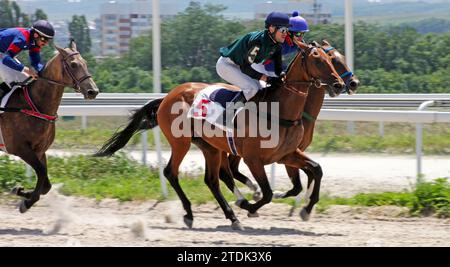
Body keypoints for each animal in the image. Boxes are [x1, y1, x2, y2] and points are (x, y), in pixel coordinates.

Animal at [0, 40, 98, 214]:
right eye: (73, 64)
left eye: (85, 62)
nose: (93, 91)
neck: (35, 106)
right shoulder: (20, 148)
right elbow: (41, 172)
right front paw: (27, 201)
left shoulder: (40, 150)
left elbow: (46, 184)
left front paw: (21, 191)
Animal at [93, 42, 342, 230]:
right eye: (319, 60)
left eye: (332, 60)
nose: (340, 84)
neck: (280, 110)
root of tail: (166, 97)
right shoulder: (254, 159)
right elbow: (268, 193)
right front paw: (249, 206)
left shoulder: (286, 155)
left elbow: (316, 169)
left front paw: (306, 209)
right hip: (181, 142)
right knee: (171, 172)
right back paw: (192, 213)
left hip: (210, 147)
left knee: (212, 179)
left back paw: (232, 216)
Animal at [227, 39, 360, 220]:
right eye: (333, 60)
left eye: (342, 57)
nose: (353, 83)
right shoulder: (284, 155)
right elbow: (303, 179)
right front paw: (289, 199)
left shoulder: (291, 152)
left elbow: (310, 175)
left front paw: (305, 206)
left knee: (232, 169)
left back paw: (252, 192)